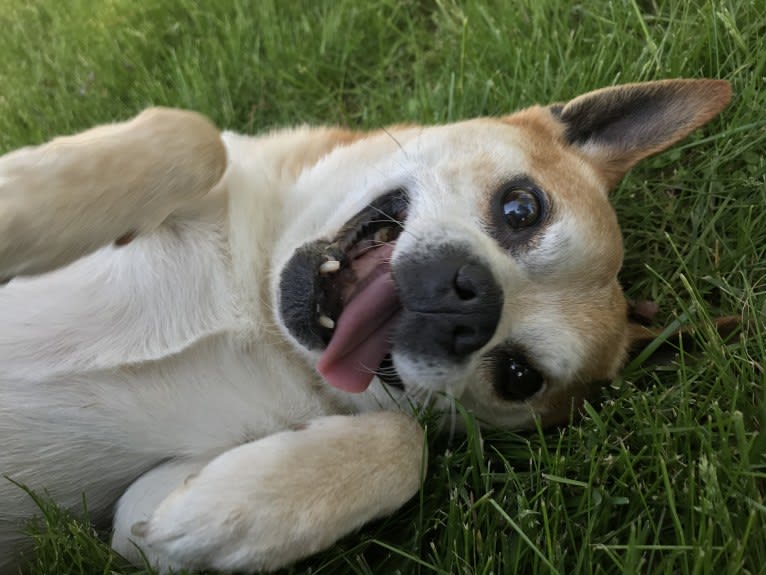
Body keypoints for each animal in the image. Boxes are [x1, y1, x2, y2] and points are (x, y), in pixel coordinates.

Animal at [0, 79, 732, 572]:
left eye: (518, 376)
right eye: (522, 208)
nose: (472, 305)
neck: (254, 306)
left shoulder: (128, 516)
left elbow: (406, 444)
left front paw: (232, 514)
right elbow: (195, 136)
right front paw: (19, 203)